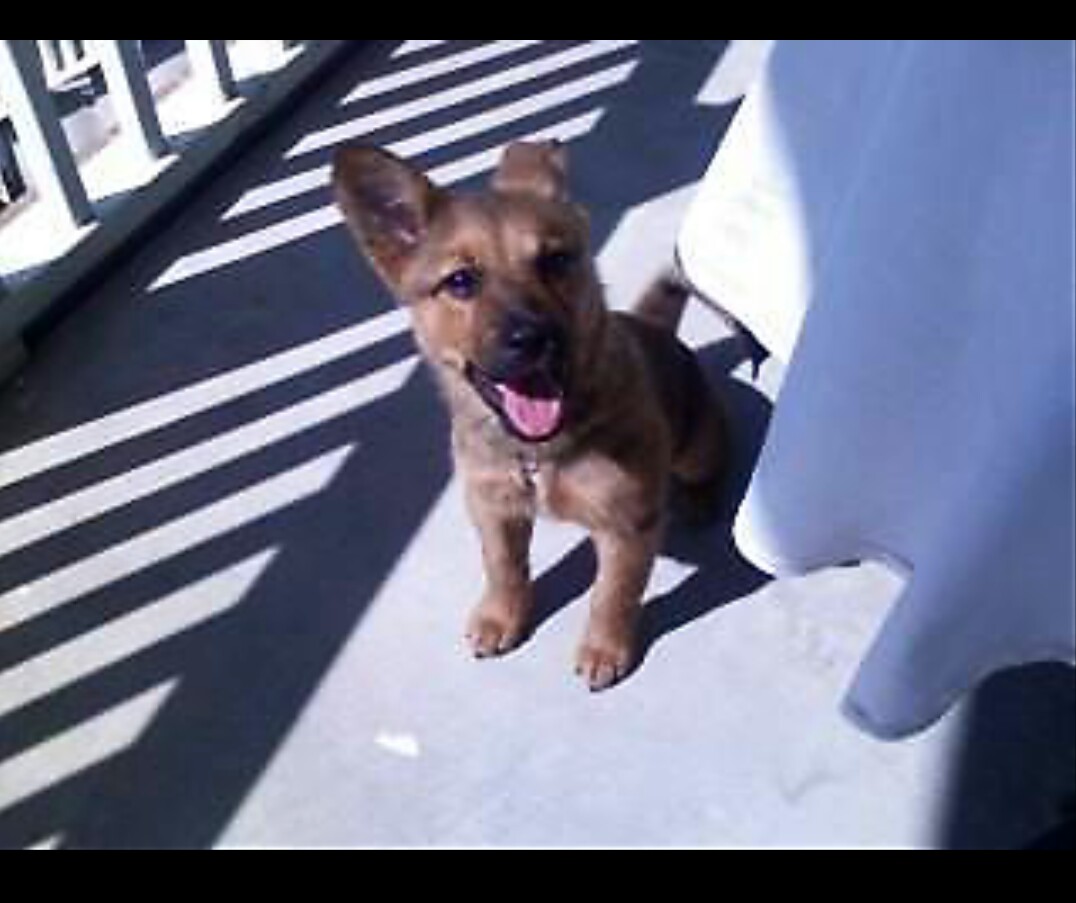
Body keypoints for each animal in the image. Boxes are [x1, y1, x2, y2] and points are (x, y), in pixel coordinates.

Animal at [333, 140, 728, 691]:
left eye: (556, 260)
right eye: (460, 281)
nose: (533, 339)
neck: (537, 454)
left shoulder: (628, 526)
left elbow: (613, 594)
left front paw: (605, 649)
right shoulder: (492, 506)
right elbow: (504, 567)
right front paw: (502, 617)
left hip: (695, 445)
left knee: (710, 462)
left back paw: (701, 499)